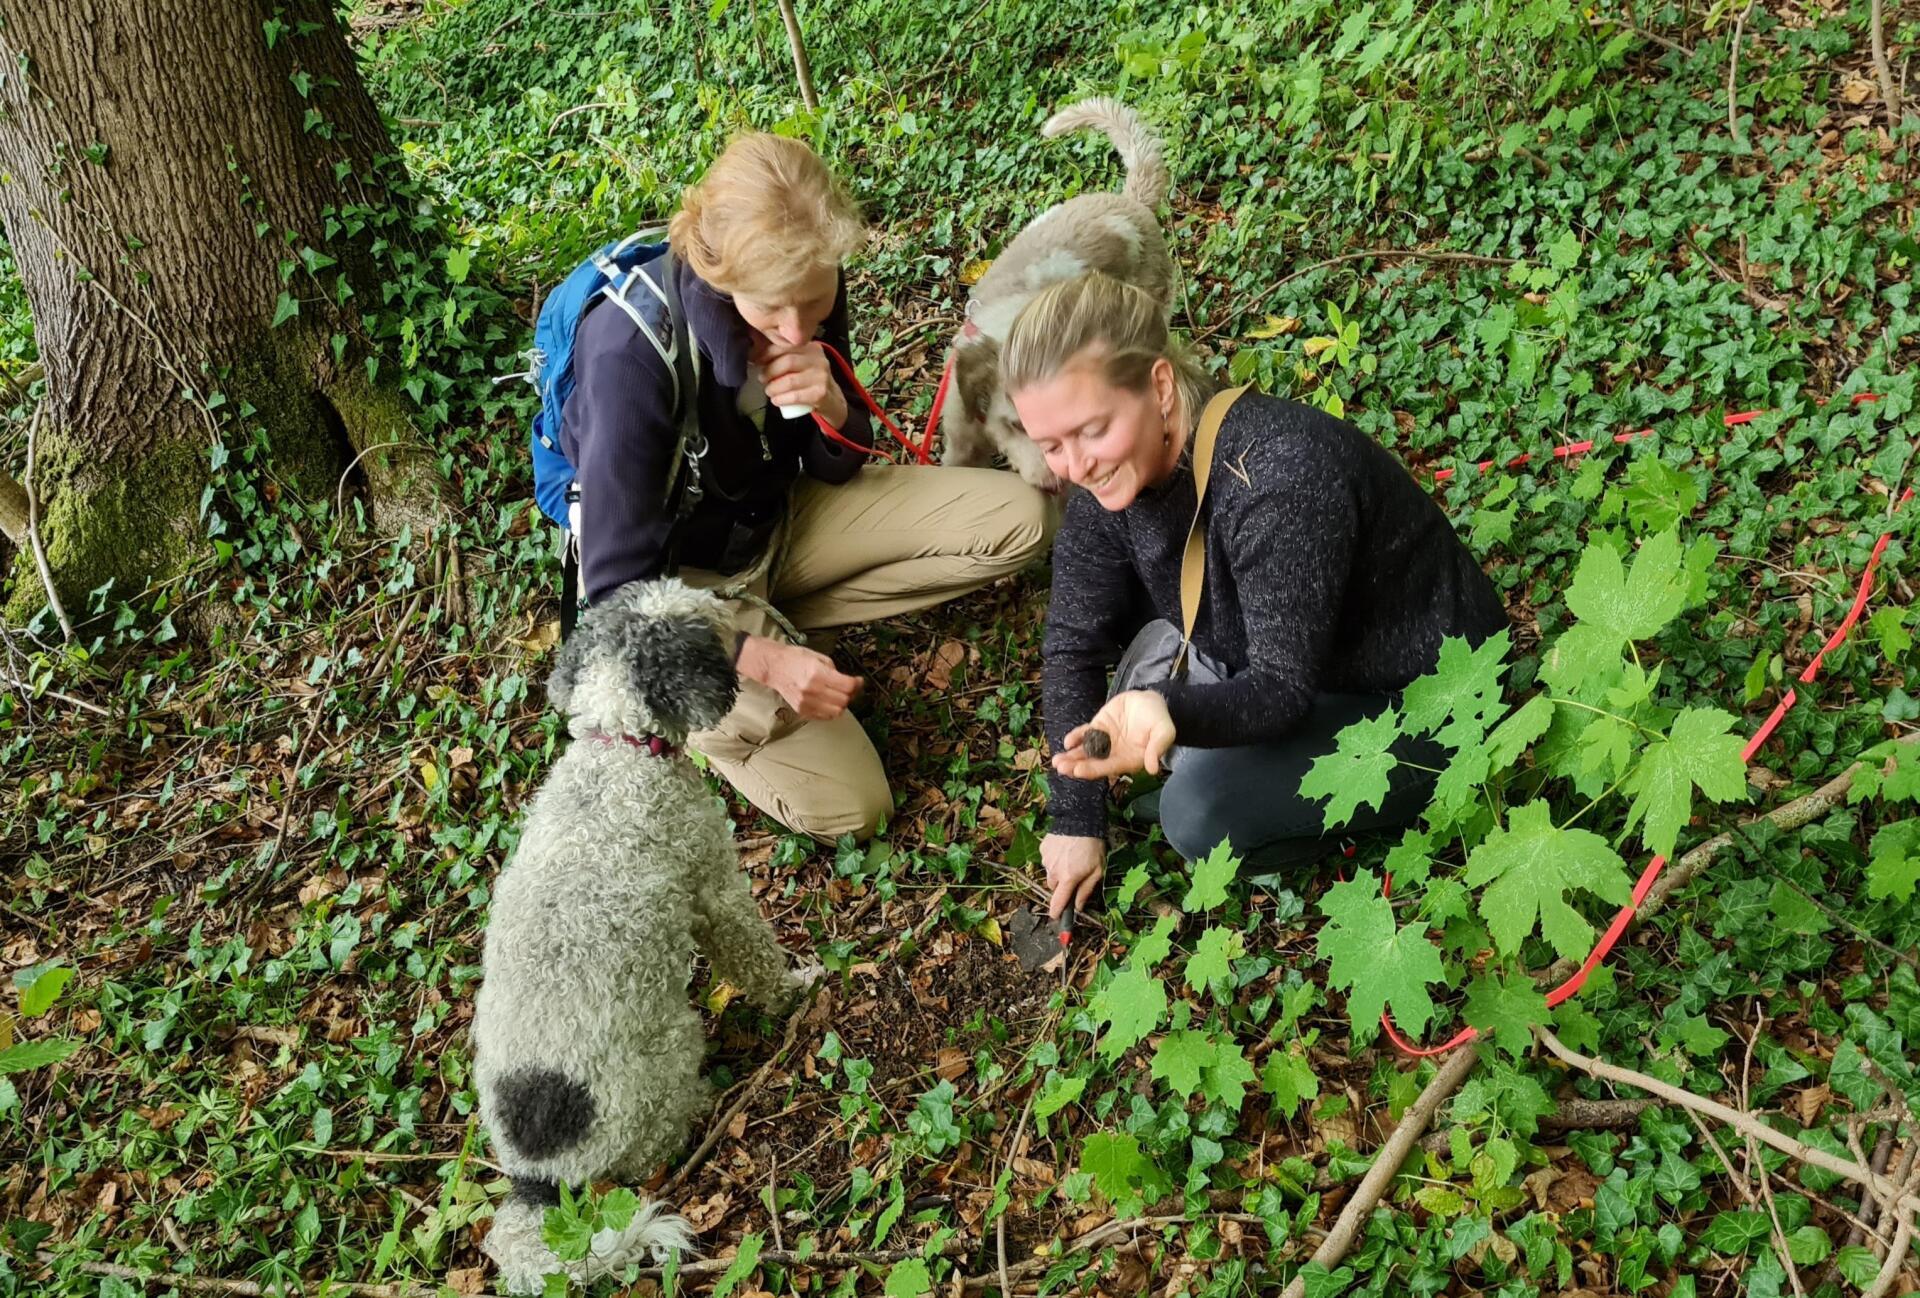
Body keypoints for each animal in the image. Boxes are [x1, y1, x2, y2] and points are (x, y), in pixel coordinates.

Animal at [472, 578, 816, 1294]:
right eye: (694, 616)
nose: (727, 598)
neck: (621, 747)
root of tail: (538, 1176)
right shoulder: (714, 890)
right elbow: (755, 956)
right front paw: (797, 989)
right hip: (668, 1052)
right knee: (653, 1147)